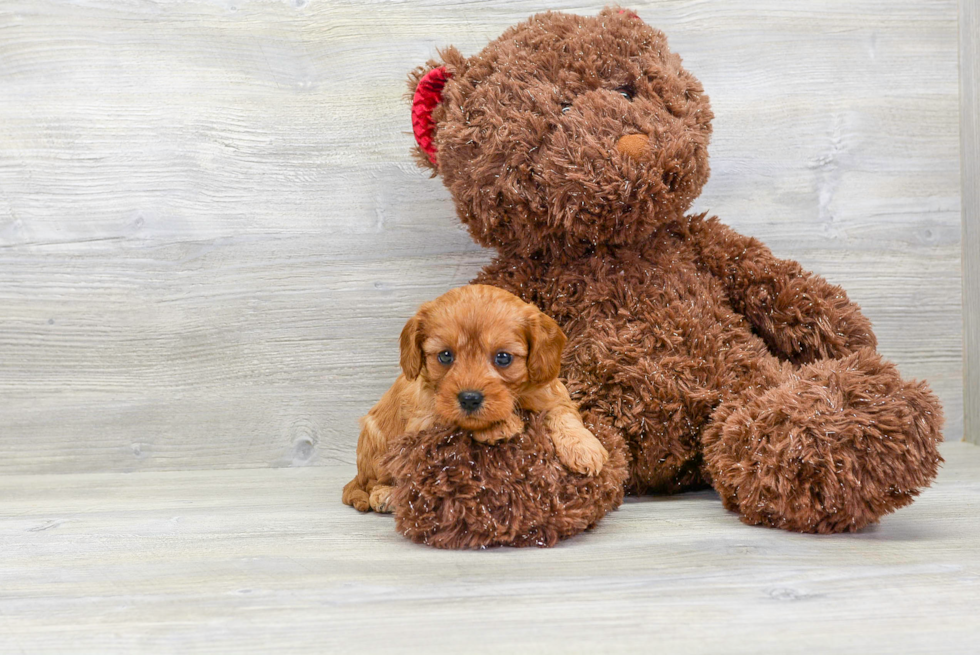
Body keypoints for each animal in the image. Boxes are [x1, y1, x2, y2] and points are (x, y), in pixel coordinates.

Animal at [340, 284, 608, 516]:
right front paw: (499, 425)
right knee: (375, 483)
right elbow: (453, 421)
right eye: (445, 356)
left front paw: (584, 447)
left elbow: (564, 413)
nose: (469, 399)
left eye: (503, 357)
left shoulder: (550, 392)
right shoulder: (426, 417)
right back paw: (385, 495)